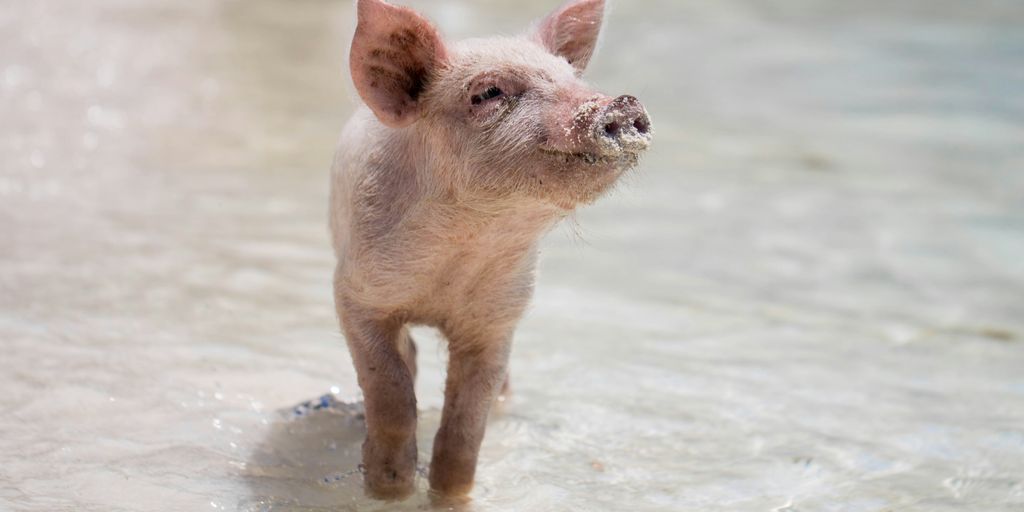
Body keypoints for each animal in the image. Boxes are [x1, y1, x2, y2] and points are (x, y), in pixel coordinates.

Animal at [329, 0, 651, 500]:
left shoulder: (498, 319)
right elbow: (391, 391)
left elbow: (466, 425)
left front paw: (449, 496)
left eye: (571, 78)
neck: (462, 250)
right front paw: (389, 489)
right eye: (488, 93)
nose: (622, 103)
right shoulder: (356, 294)